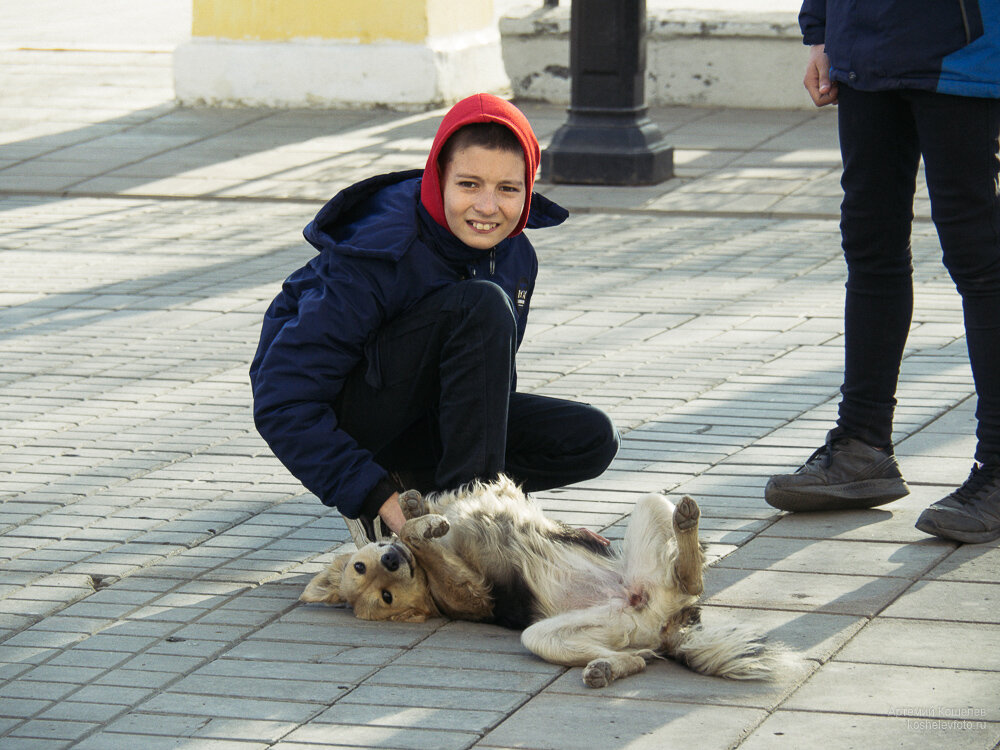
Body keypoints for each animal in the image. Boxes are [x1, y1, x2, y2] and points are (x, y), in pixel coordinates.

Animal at [298, 478, 788, 692]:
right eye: (385, 596)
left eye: (361, 568)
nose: (391, 560)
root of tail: (664, 623)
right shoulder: (473, 592)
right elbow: (427, 543)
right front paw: (420, 527)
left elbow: (419, 520)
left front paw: (415, 510)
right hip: (555, 634)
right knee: (645, 649)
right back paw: (610, 667)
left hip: (648, 515)